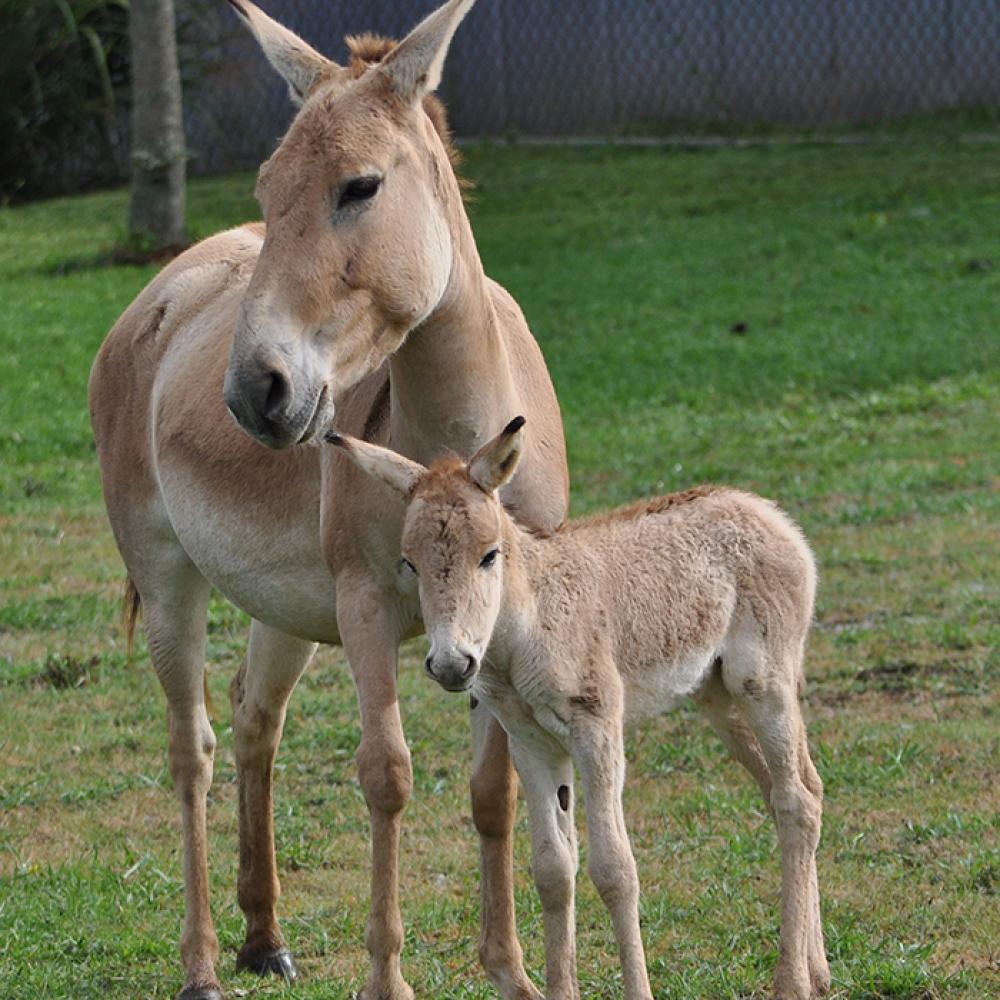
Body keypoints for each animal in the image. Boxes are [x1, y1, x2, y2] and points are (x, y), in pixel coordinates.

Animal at [328, 422, 828, 1000]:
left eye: (489, 555)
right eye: (410, 563)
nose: (452, 665)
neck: (526, 628)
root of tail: (769, 513)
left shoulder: (597, 732)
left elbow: (614, 869)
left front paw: (638, 991)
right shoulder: (532, 744)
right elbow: (552, 869)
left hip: (763, 685)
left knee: (796, 802)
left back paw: (791, 980)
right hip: (719, 697)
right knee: (795, 789)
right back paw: (817, 969)